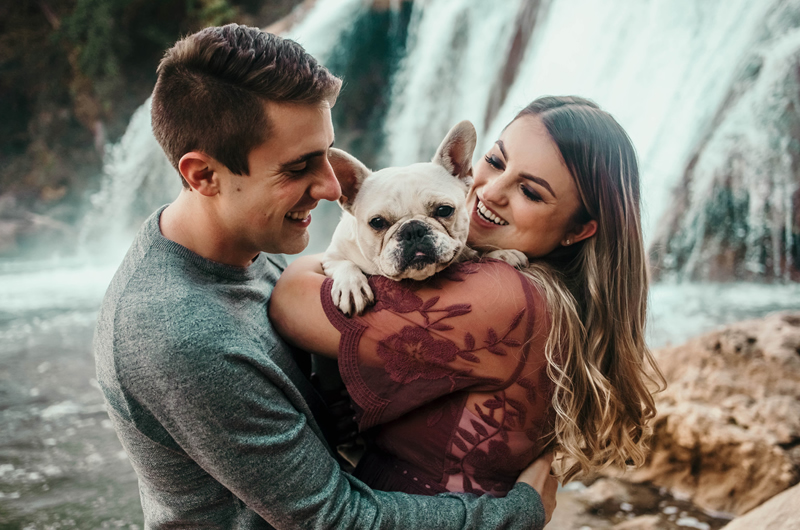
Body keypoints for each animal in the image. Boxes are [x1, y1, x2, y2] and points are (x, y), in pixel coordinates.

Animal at [322, 120, 528, 314]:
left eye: (444, 210)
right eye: (377, 222)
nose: (413, 229)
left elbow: (474, 254)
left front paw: (502, 254)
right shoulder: (331, 256)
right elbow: (344, 264)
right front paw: (351, 287)